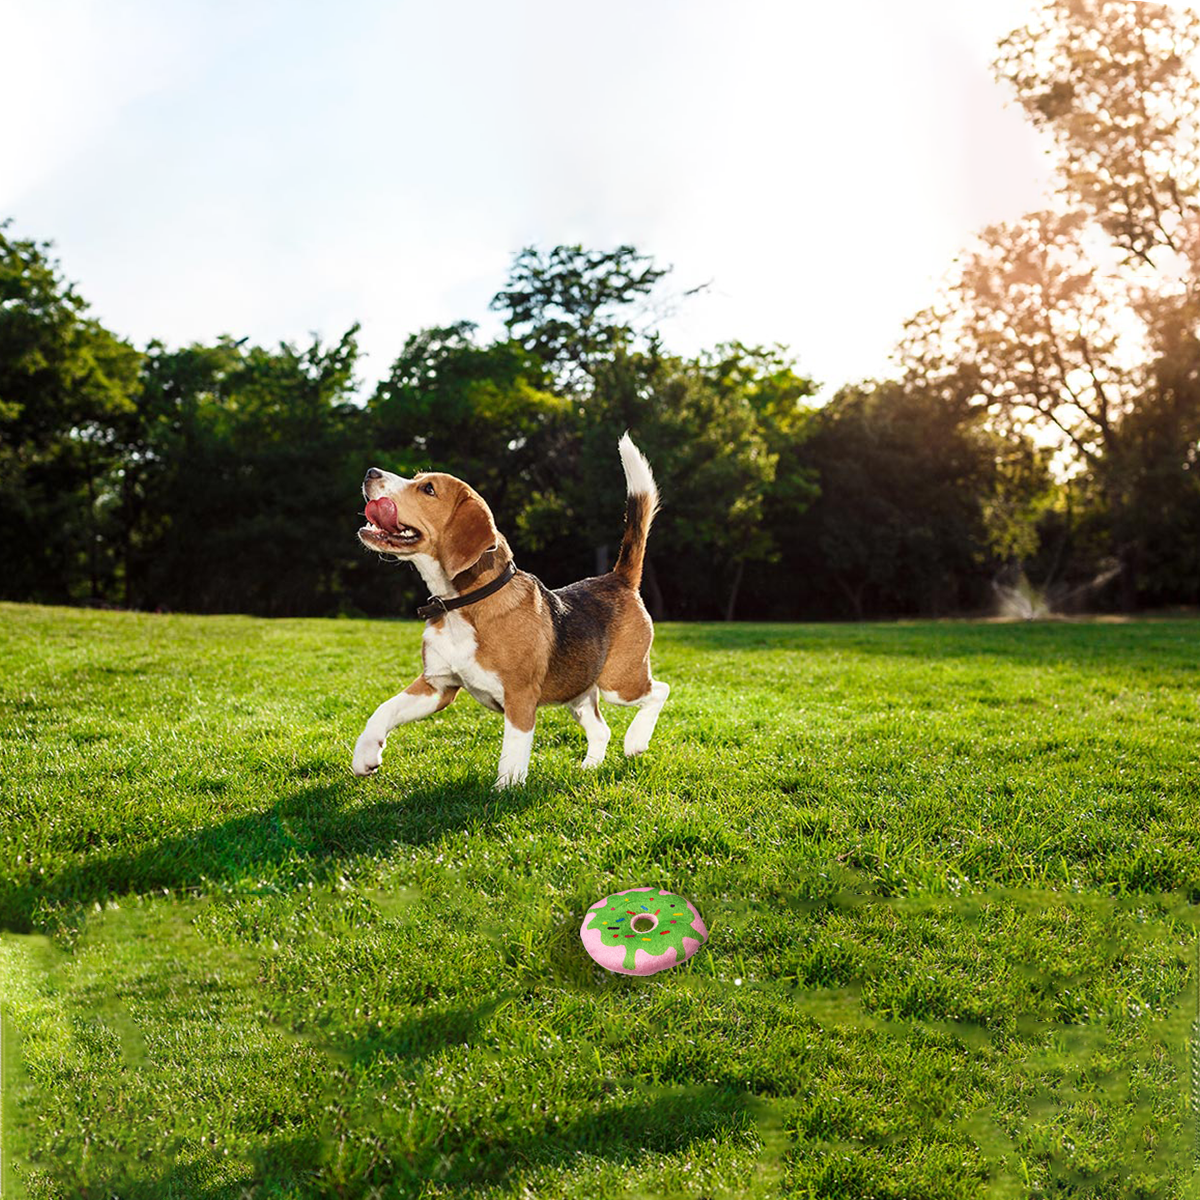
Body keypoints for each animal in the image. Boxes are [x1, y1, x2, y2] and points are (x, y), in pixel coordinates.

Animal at [350, 434, 672, 787]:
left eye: (428, 489)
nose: (369, 472)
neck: (462, 605)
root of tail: (617, 578)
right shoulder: (437, 686)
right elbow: (384, 709)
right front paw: (365, 755)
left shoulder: (520, 697)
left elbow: (513, 752)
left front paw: (506, 789)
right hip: (578, 692)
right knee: (601, 729)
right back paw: (589, 768)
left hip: (620, 682)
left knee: (660, 691)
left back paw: (636, 740)